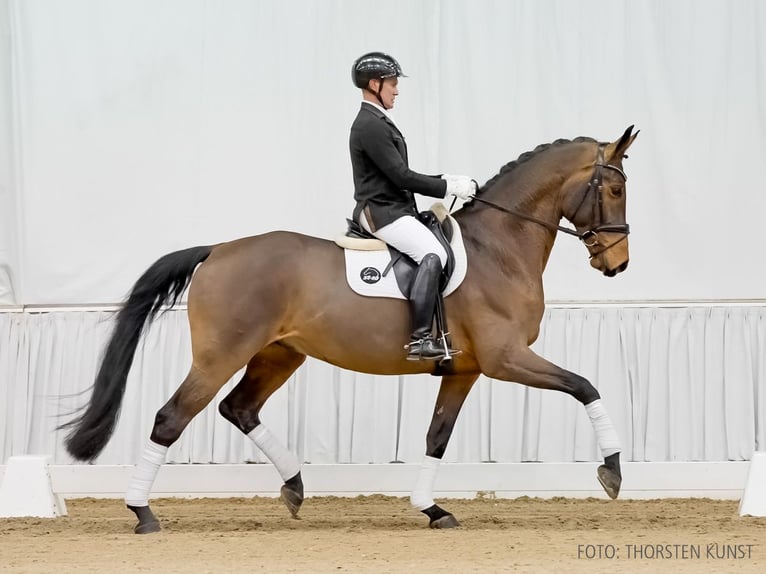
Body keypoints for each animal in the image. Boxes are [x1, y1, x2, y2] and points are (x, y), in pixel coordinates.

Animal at [60, 126, 640, 536]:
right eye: (613, 188)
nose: (618, 264)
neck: (499, 247)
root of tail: (217, 250)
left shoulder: (466, 370)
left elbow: (437, 437)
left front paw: (431, 509)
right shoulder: (505, 358)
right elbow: (586, 386)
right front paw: (612, 471)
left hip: (279, 353)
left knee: (239, 408)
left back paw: (294, 487)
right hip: (221, 354)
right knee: (171, 417)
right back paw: (142, 512)